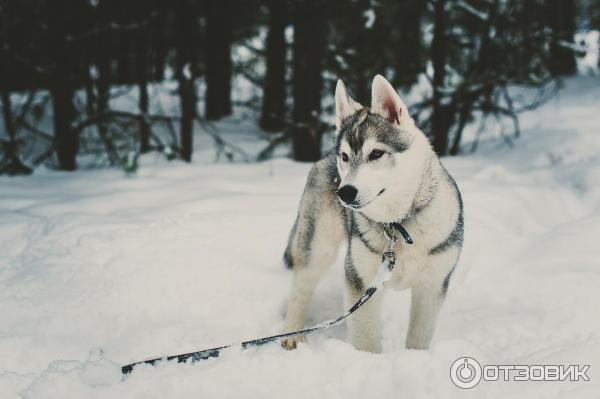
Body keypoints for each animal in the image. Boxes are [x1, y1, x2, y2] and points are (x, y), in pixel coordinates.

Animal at [282, 75, 464, 354]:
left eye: (376, 153)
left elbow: (419, 337)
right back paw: (292, 333)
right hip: (317, 247)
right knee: (300, 289)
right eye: (345, 156)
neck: (399, 224)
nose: (344, 192)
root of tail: (323, 158)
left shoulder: (432, 286)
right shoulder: (360, 280)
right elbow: (366, 339)